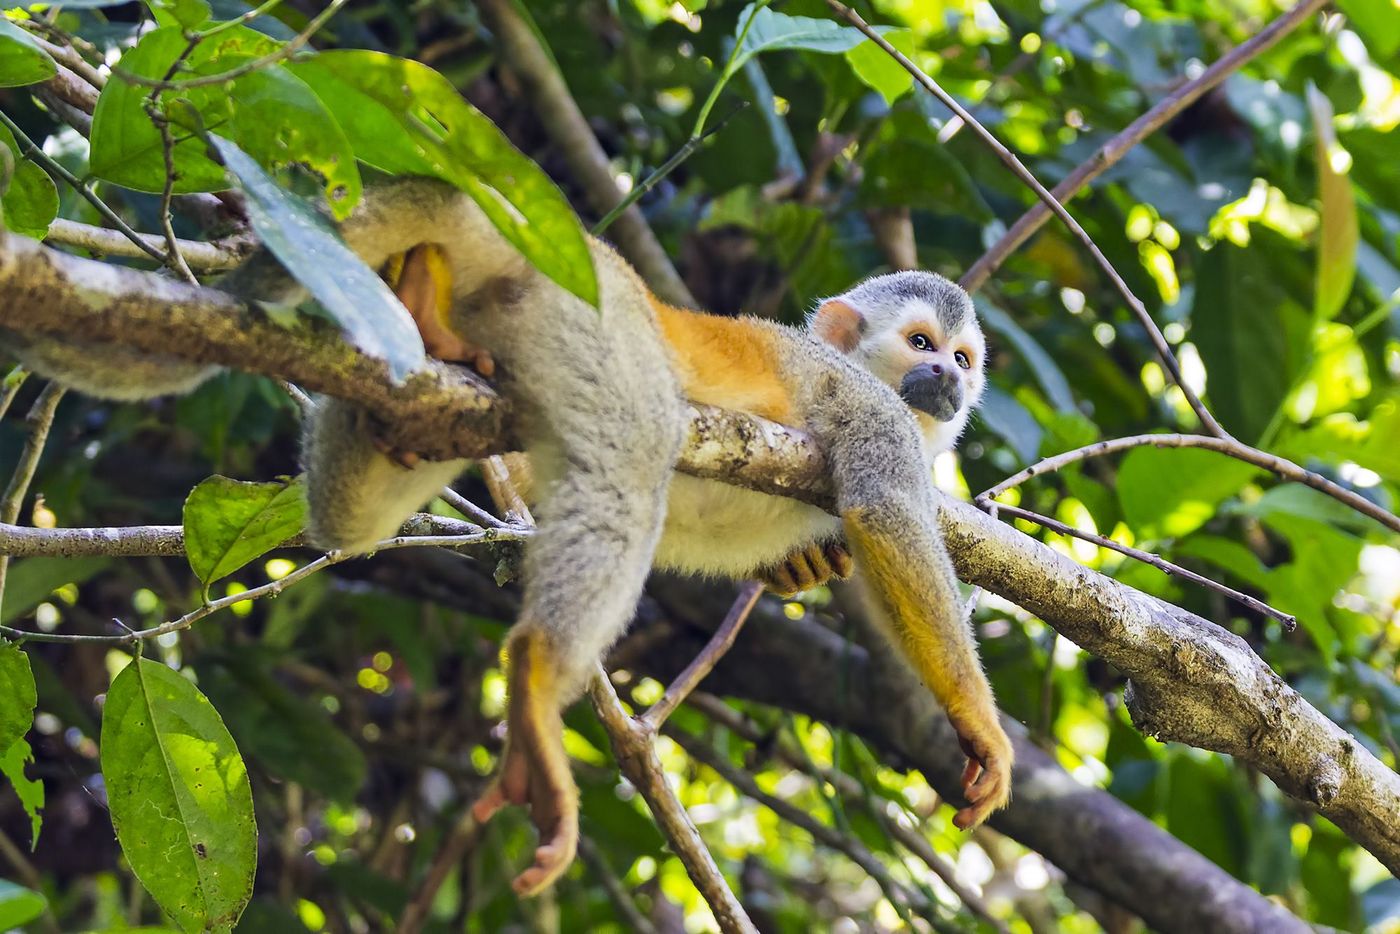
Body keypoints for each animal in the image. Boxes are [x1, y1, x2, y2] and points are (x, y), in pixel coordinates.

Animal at [1, 177, 1012, 899]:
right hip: (596, 320)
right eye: (921, 344)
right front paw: (978, 724)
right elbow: (883, 505)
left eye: (964, 359)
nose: (949, 382)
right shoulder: (864, 400)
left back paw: (420, 314)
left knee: (355, 518)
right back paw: (533, 673)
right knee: (634, 447)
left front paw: (807, 562)